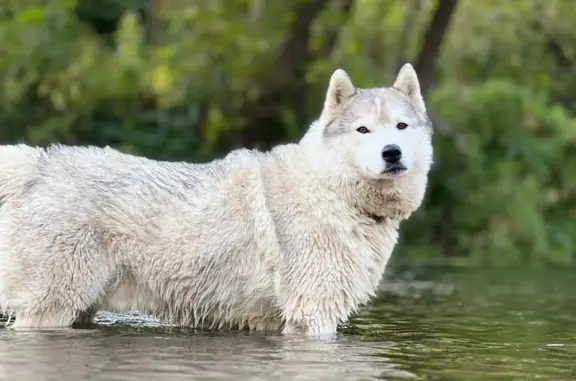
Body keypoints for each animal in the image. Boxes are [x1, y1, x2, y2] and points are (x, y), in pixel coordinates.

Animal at [0, 63, 432, 334]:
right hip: (53, 306)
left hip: (81, 307)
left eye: (401, 126)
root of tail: (37, 164)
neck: (332, 190)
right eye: (363, 130)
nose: (391, 153)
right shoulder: (313, 315)